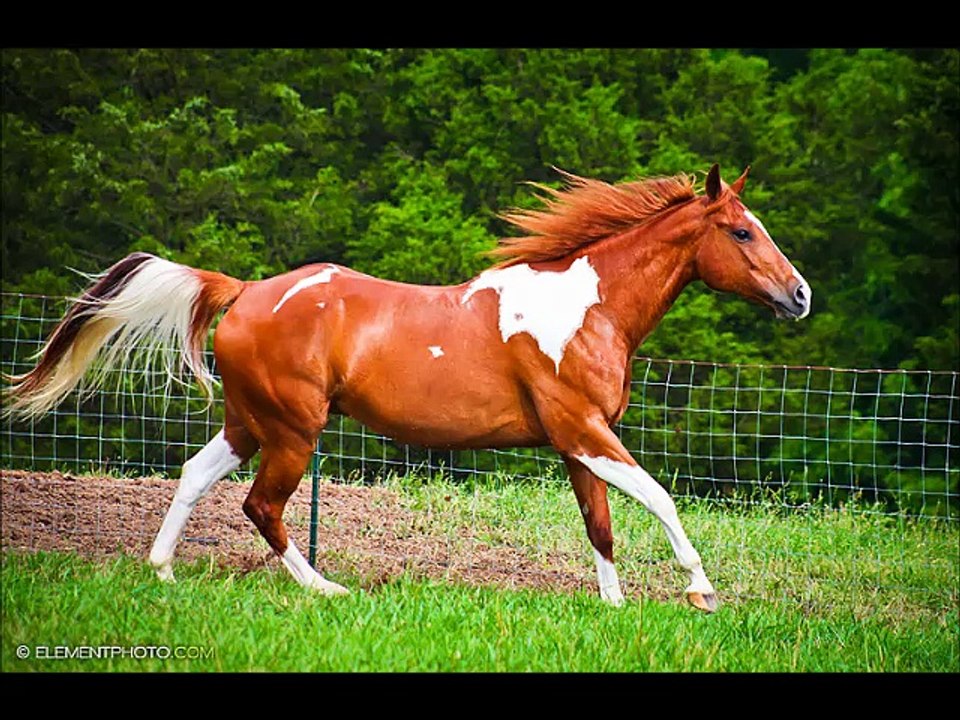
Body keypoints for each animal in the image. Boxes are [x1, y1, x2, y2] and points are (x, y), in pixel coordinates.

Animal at [3, 164, 810, 612]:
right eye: (741, 232)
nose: (800, 295)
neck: (589, 307)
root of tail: (247, 290)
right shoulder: (582, 428)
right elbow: (659, 497)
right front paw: (700, 591)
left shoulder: (577, 441)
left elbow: (601, 525)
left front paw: (614, 607)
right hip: (294, 429)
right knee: (262, 506)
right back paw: (326, 590)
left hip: (249, 421)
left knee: (197, 474)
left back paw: (164, 572)